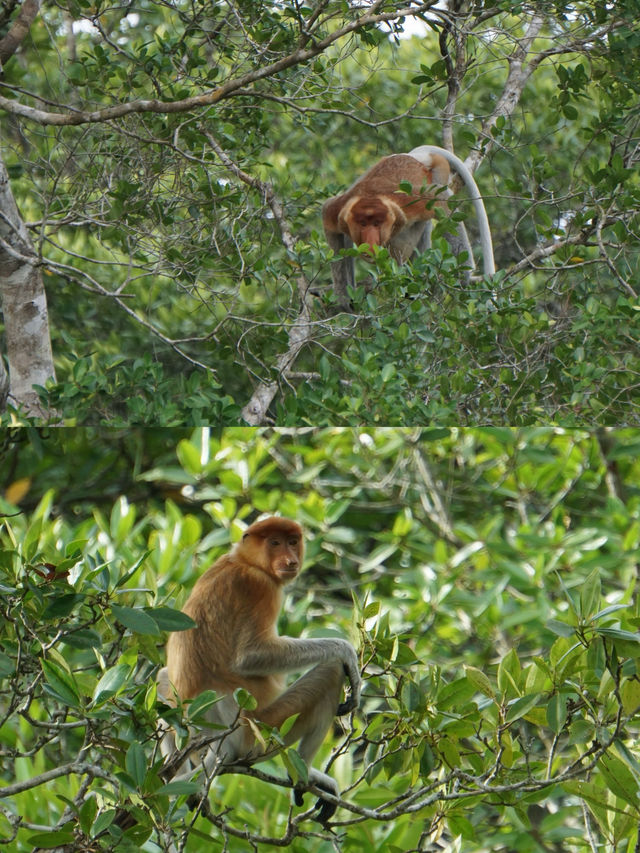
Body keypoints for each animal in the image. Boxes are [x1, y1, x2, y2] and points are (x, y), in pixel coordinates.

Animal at [158, 516, 362, 824]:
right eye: (274, 542)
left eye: (293, 541)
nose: (290, 560)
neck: (242, 561)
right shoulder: (259, 586)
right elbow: (250, 656)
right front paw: (346, 652)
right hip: (261, 731)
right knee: (330, 673)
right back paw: (303, 776)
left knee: (161, 677)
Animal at [322, 145, 498, 312]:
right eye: (363, 224)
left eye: (377, 224)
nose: (370, 242)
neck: (372, 196)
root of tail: (416, 157)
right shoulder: (341, 209)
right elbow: (328, 215)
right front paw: (343, 297)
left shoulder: (412, 200)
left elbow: (442, 205)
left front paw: (462, 275)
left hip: (438, 172)